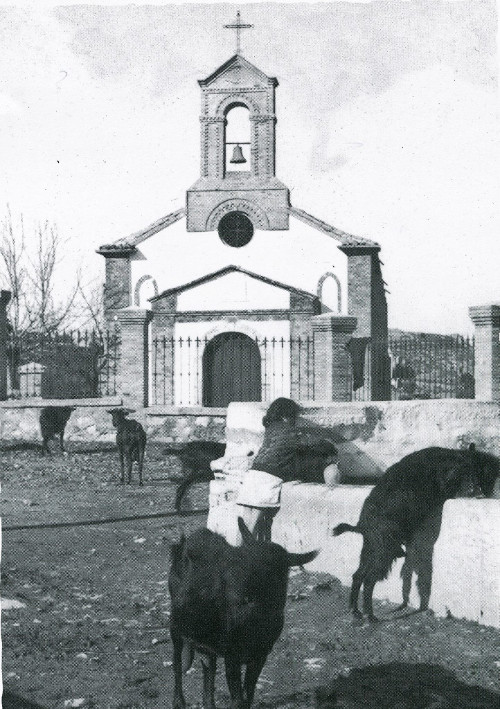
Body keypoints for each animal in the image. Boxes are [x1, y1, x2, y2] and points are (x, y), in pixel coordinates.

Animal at [168, 516, 316, 708]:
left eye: (272, 568)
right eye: (240, 559)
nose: (240, 594)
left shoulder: (261, 654)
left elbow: (248, 695)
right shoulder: (232, 656)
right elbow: (238, 699)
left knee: (208, 667)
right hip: (175, 627)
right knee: (177, 664)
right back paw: (179, 701)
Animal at [332, 446, 496, 624]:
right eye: (465, 472)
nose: (479, 491)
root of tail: (361, 525)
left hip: (369, 550)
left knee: (358, 576)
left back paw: (355, 612)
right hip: (384, 553)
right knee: (369, 581)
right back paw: (371, 616)